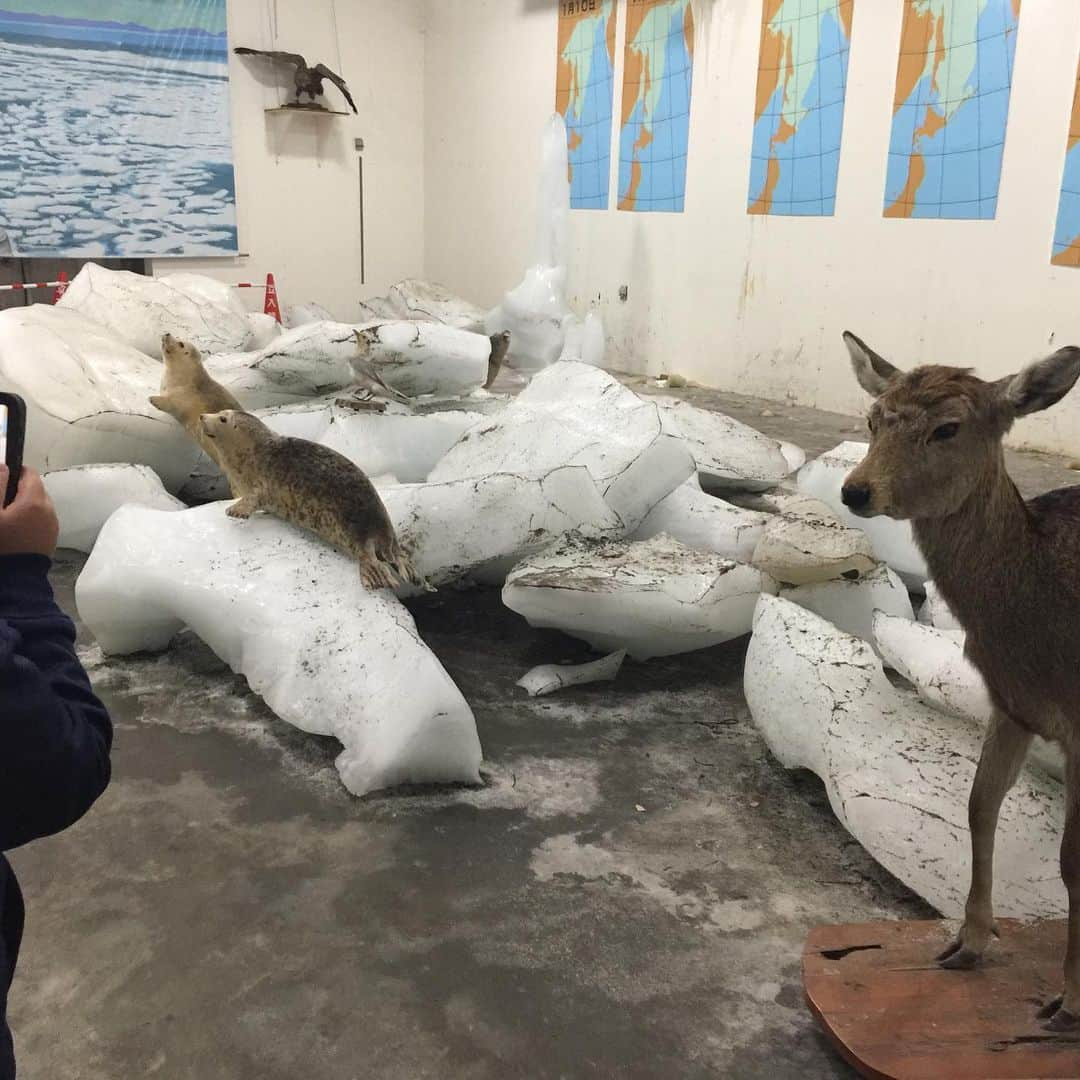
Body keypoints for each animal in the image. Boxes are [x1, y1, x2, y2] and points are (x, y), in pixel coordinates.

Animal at [838, 332, 1080, 1032]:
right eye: (873, 418)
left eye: (948, 427)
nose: (856, 491)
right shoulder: (1012, 704)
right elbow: (978, 806)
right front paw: (965, 944)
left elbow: (1071, 859)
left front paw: (1069, 1002)